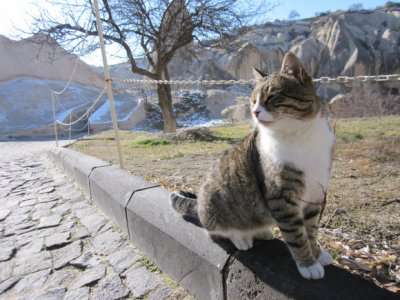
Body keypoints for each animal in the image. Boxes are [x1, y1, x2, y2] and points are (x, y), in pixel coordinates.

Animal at [170, 52, 336, 280]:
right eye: (253, 100)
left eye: (271, 97)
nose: (255, 112)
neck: (299, 137)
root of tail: (199, 201)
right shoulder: (281, 197)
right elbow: (296, 235)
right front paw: (308, 264)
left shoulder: (316, 194)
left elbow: (311, 230)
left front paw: (317, 253)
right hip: (216, 205)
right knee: (215, 231)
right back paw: (241, 238)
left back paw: (263, 232)